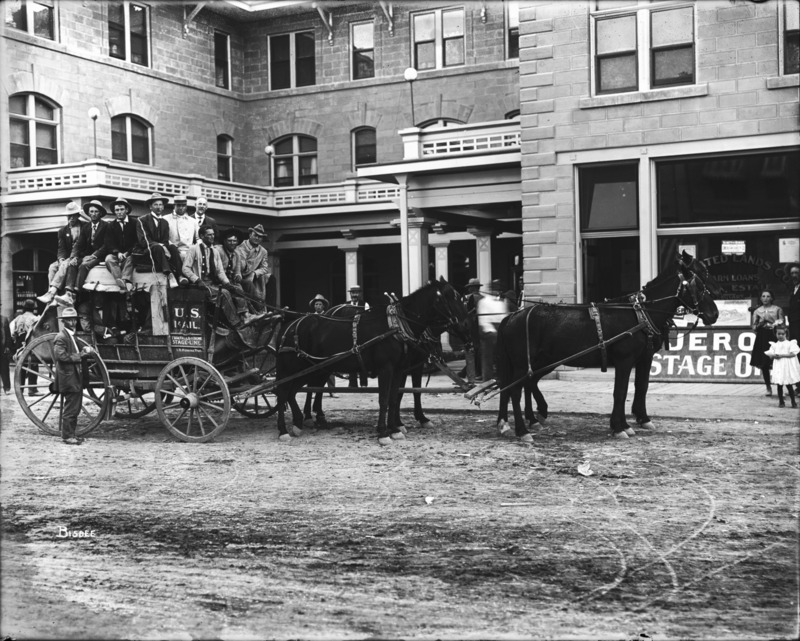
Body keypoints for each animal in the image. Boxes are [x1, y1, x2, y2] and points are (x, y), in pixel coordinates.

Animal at [274, 278, 470, 445]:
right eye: (452, 297)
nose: (466, 325)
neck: (396, 325)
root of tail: (287, 326)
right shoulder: (387, 368)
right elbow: (384, 399)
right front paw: (384, 432)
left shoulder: (400, 368)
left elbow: (394, 398)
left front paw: (395, 428)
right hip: (291, 368)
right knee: (283, 392)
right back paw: (284, 430)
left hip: (313, 368)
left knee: (294, 391)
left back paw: (300, 421)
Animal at [494, 251, 721, 442]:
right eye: (699, 283)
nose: (715, 314)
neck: (639, 313)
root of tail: (512, 316)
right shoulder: (624, 361)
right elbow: (620, 392)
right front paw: (619, 427)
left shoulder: (643, 358)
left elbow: (640, 387)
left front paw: (635, 421)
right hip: (524, 364)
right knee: (514, 390)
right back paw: (522, 430)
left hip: (540, 362)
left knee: (524, 385)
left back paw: (520, 421)